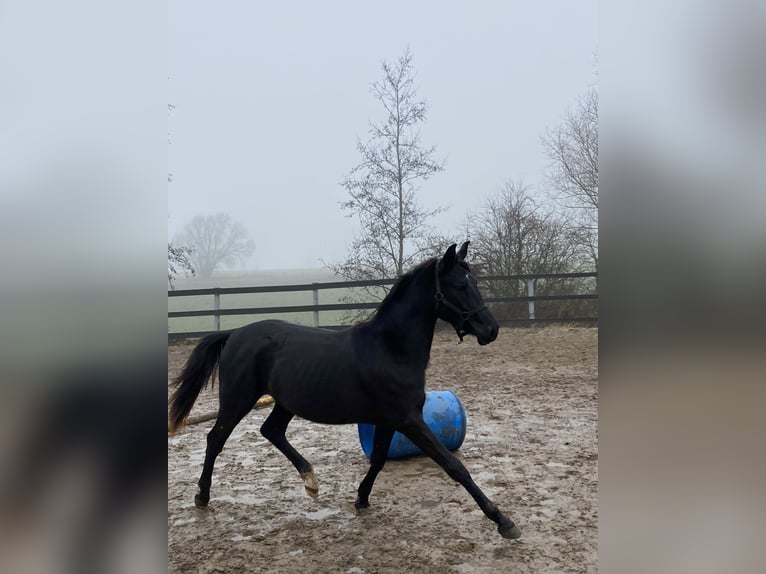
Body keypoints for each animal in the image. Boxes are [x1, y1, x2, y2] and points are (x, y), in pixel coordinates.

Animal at [170, 242, 520, 540]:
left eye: (474, 283)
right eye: (460, 286)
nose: (491, 330)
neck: (390, 349)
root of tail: (234, 333)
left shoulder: (388, 421)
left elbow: (378, 460)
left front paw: (361, 499)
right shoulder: (409, 420)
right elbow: (454, 466)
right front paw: (503, 521)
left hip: (285, 402)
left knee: (271, 430)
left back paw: (311, 481)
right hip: (238, 399)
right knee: (216, 439)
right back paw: (202, 496)